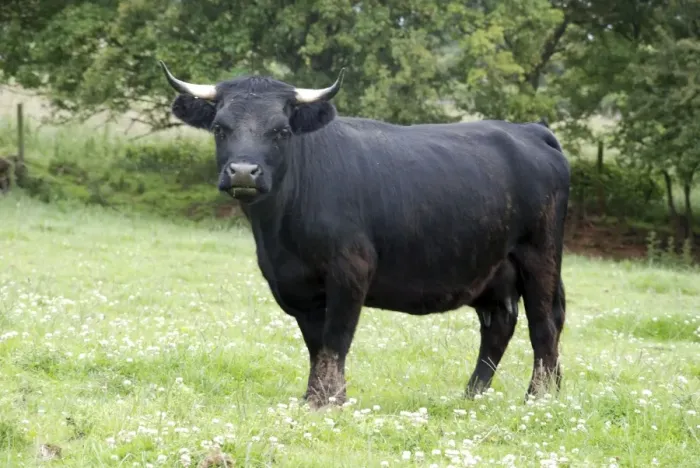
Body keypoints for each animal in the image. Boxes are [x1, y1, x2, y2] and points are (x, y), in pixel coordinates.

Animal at [159, 61, 571, 409]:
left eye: (281, 131)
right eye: (219, 128)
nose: (244, 171)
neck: (278, 235)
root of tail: (529, 130)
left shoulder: (350, 270)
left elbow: (335, 339)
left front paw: (331, 400)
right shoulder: (295, 286)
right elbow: (316, 345)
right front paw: (313, 397)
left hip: (539, 257)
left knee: (544, 325)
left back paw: (538, 397)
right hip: (493, 270)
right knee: (499, 324)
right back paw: (472, 395)